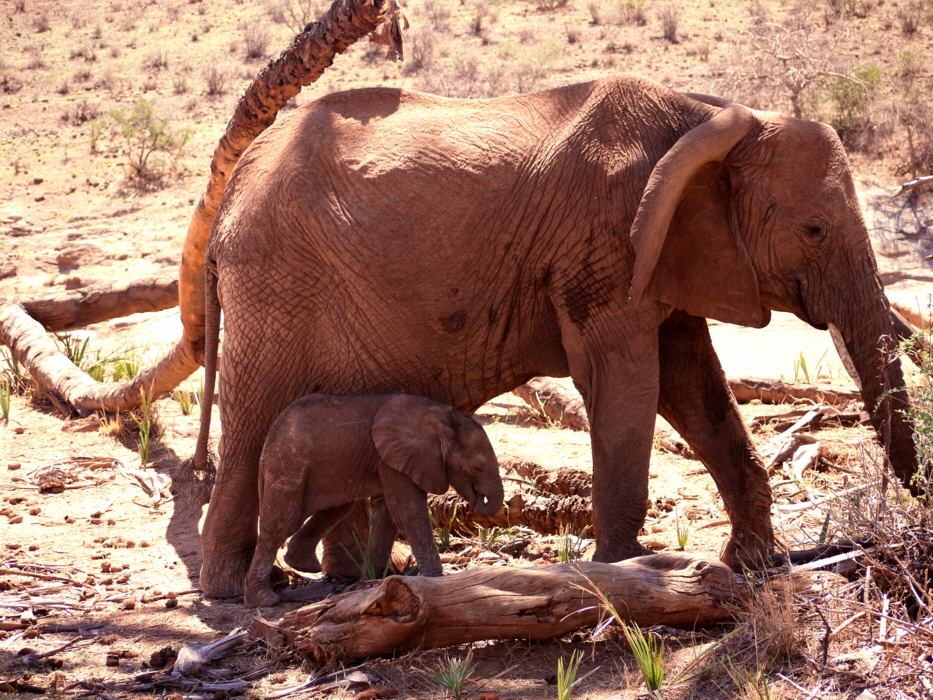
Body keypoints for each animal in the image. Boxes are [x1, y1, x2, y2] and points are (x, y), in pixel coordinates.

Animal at [240, 394, 502, 608]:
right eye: (477, 467)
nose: (477, 501)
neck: (440, 416)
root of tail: (269, 438)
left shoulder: (390, 459)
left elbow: (388, 516)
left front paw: (372, 585)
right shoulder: (395, 459)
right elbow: (407, 513)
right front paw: (435, 582)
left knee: (336, 508)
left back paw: (304, 566)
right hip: (288, 464)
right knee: (281, 523)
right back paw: (264, 600)